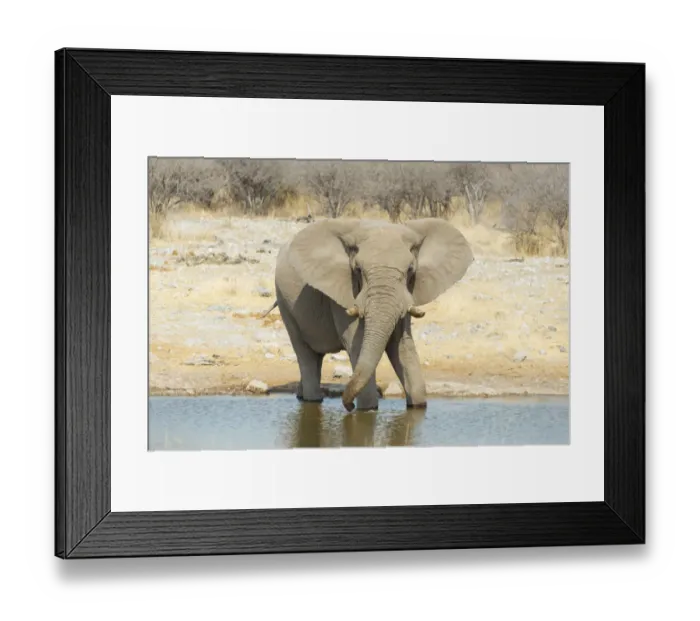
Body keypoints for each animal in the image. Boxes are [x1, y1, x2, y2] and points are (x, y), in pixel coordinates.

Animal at [273, 217, 474, 412]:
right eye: (358, 270)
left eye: (410, 270)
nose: (348, 406)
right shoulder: (345, 292)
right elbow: (357, 343)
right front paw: (367, 409)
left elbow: (402, 346)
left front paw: (417, 406)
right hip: (284, 302)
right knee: (303, 352)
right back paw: (312, 399)